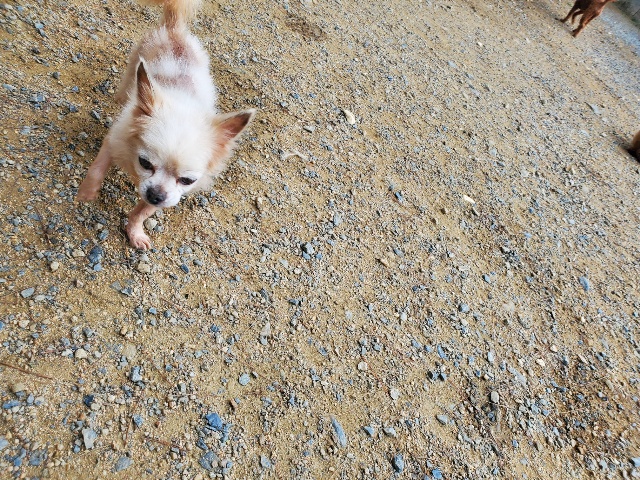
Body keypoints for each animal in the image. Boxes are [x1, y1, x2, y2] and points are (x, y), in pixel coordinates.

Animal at [77, 0, 255, 249]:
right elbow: (97, 168)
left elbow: (141, 213)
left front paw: (135, 232)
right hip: (134, 65)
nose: (156, 194)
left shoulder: (169, 195)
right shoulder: (116, 139)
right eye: (145, 162)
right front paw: (87, 191)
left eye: (187, 180)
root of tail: (175, 30)